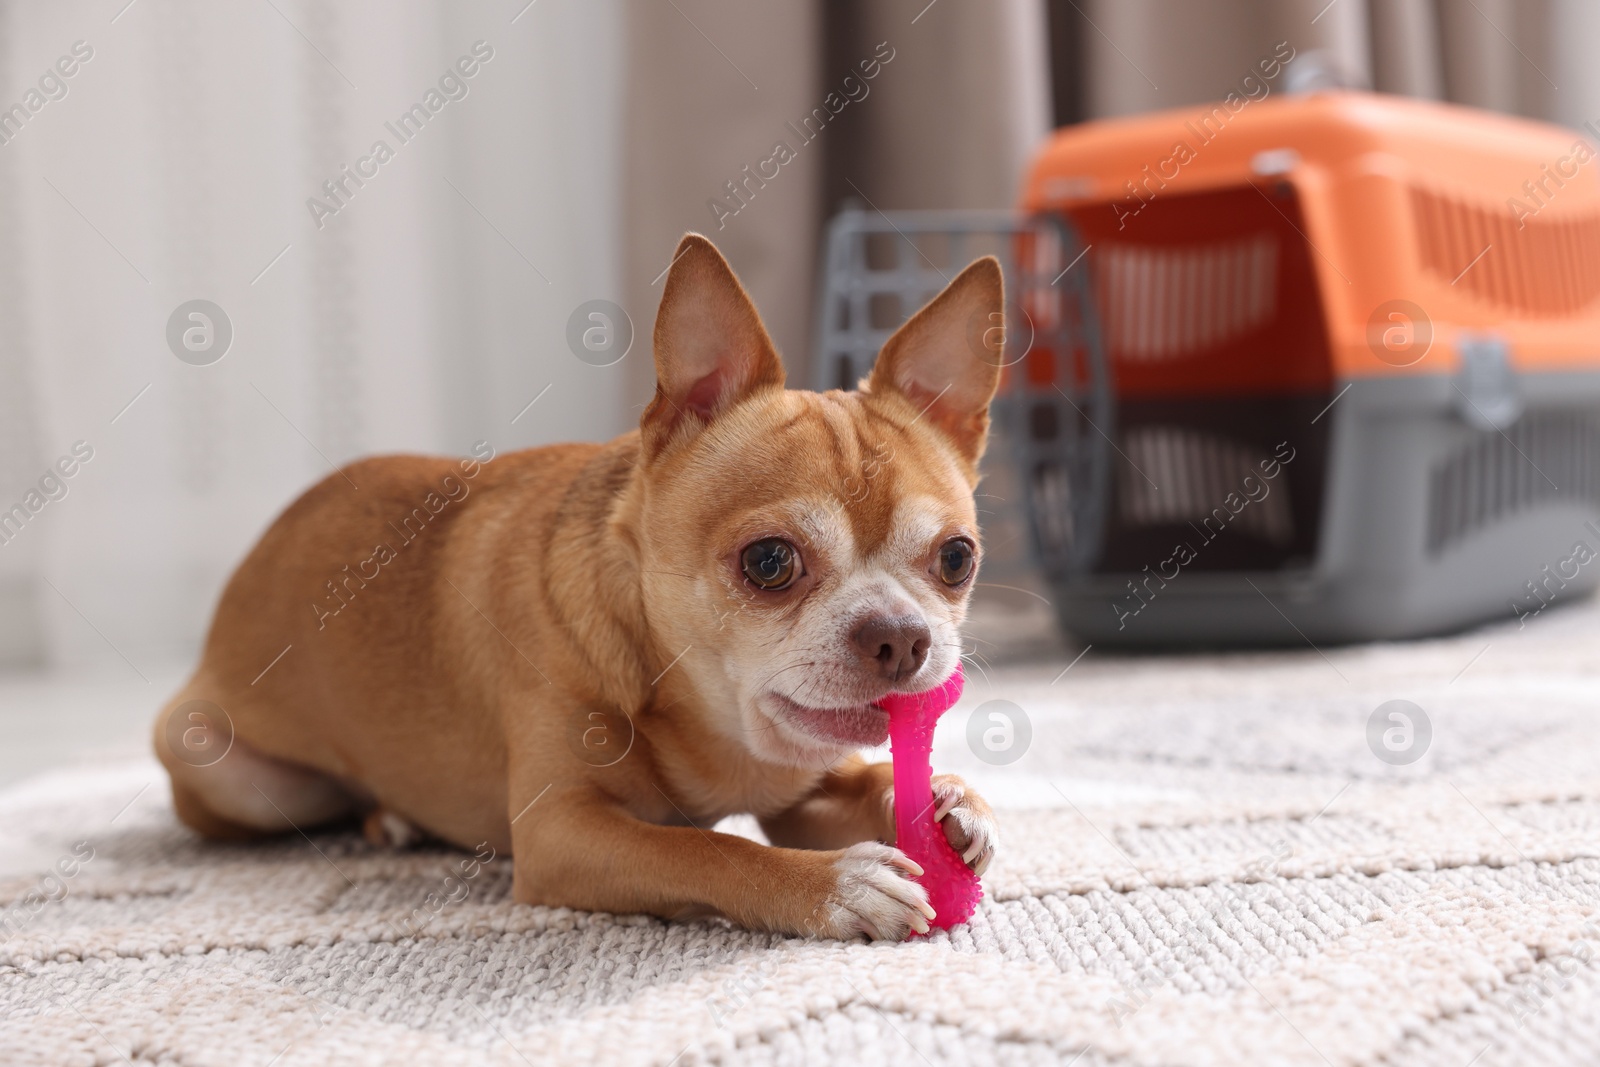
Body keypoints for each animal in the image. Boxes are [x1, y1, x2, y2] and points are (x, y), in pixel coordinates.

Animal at [150, 235, 998, 940]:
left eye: (957, 559)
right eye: (768, 562)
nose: (902, 636)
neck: (707, 720)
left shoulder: (803, 792)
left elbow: (878, 781)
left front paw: (956, 803)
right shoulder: (562, 833)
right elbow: (705, 850)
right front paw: (836, 885)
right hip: (220, 766)